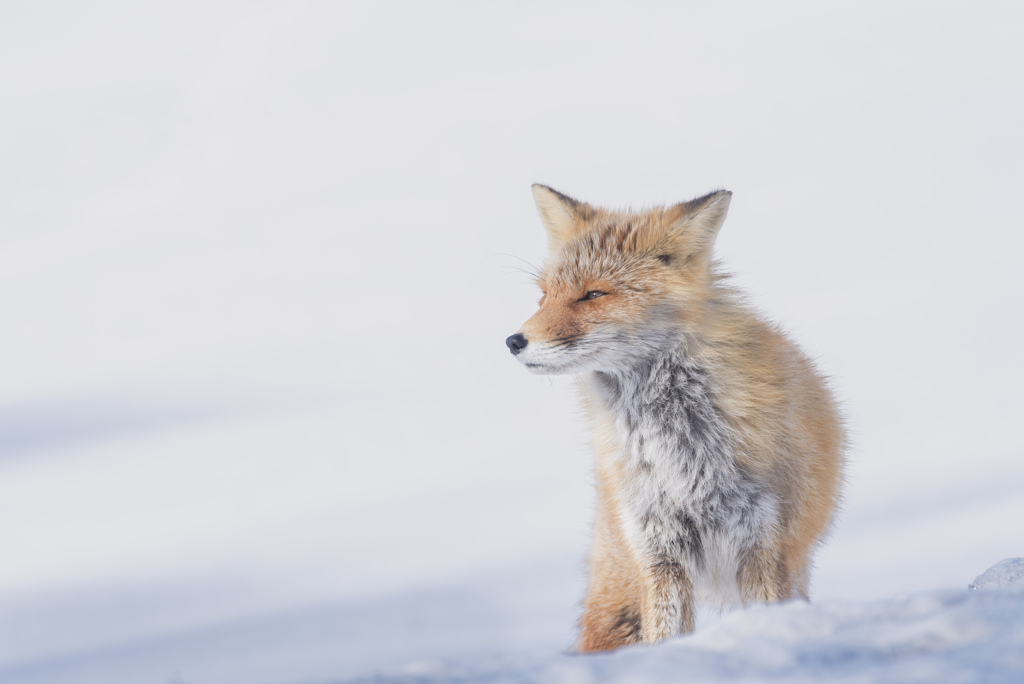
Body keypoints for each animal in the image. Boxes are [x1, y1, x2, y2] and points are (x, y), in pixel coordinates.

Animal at [505, 183, 847, 651]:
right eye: (543, 295)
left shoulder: (762, 545)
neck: (677, 447)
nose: (513, 341)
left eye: (593, 295)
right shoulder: (659, 554)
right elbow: (664, 637)